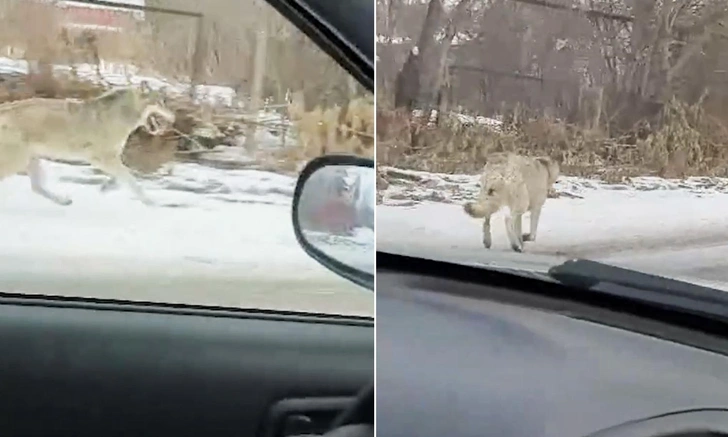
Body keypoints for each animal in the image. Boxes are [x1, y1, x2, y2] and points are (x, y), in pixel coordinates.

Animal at [0, 81, 173, 206]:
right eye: (160, 102)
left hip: (31, 159)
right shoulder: (101, 158)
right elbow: (131, 179)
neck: (122, 115)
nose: (174, 116)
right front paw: (151, 202)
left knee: (37, 187)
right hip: (18, 161)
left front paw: (106, 188)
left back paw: (63, 201)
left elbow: (124, 175)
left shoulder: (111, 158)